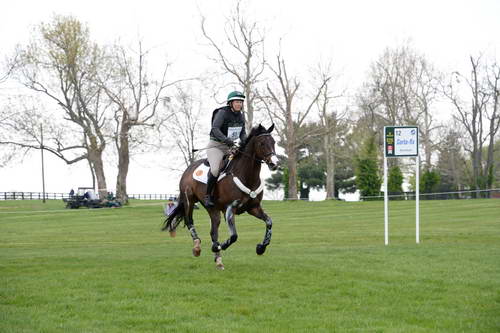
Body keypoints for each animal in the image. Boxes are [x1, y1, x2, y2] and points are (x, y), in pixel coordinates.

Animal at [164, 123, 282, 268]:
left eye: (274, 142)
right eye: (262, 143)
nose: (274, 163)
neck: (246, 176)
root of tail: (189, 168)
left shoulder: (253, 208)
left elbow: (269, 222)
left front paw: (261, 248)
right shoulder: (229, 209)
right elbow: (234, 236)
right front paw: (218, 246)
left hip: (213, 209)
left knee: (213, 231)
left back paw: (219, 260)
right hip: (189, 200)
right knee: (189, 221)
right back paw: (197, 247)